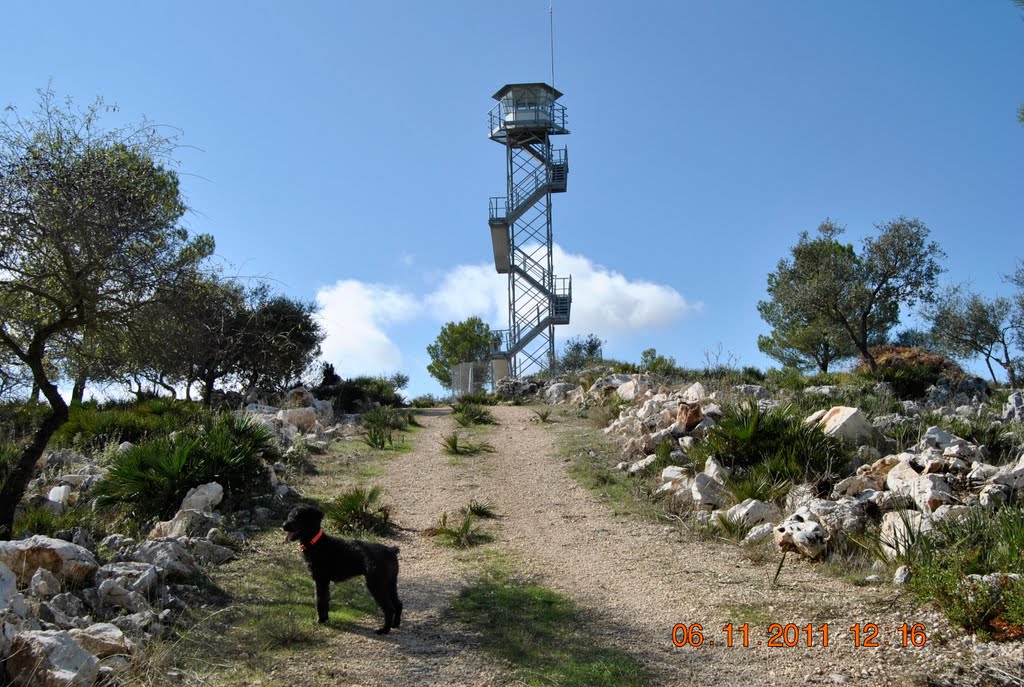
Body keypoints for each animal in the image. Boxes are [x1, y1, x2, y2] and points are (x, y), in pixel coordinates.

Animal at [286, 505, 405, 634]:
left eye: (298, 517)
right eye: (290, 515)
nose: (284, 525)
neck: (316, 543)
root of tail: (390, 551)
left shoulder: (320, 580)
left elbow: (320, 601)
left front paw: (320, 621)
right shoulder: (324, 582)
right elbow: (325, 600)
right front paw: (325, 619)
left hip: (377, 584)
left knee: (389, 608)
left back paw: (384, 630)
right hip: (390, 583)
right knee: (398, 604)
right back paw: (395, 624)